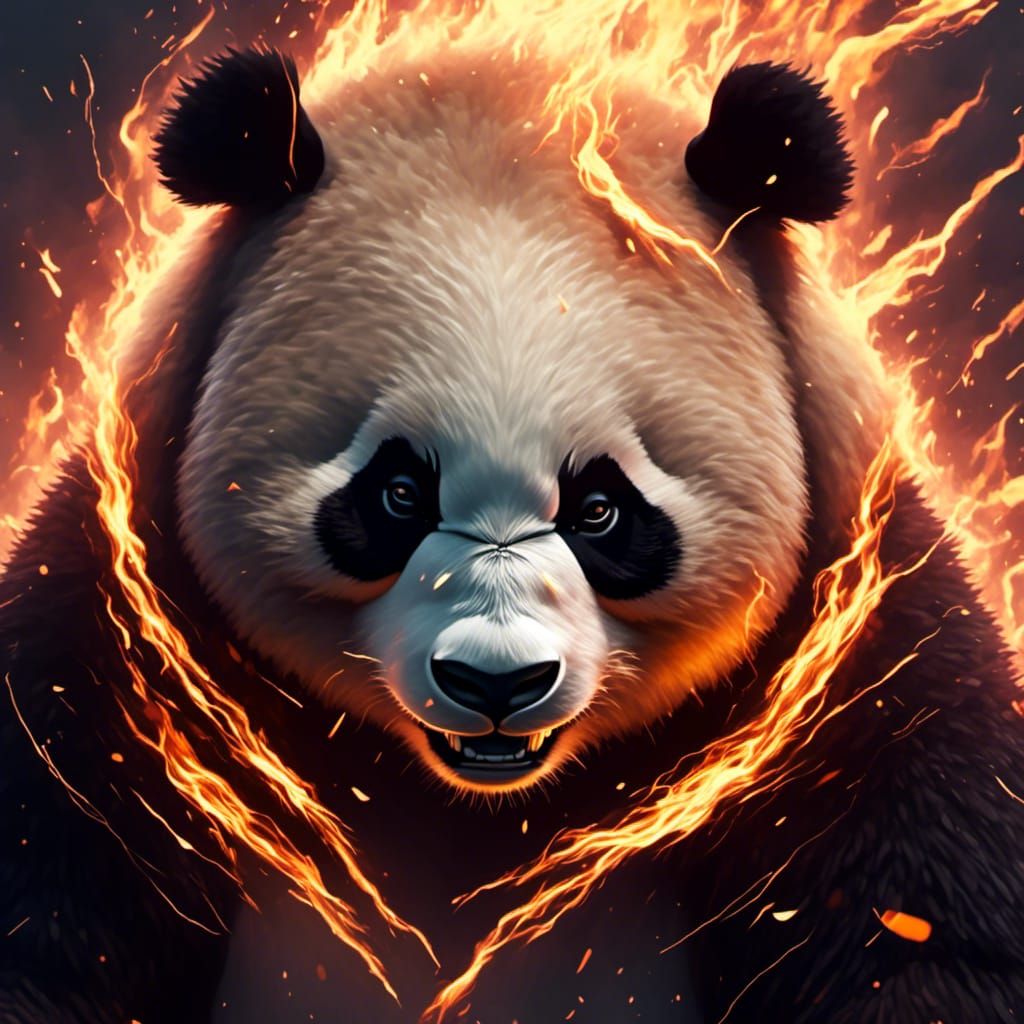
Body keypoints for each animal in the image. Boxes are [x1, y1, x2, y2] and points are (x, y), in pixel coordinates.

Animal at [2, 43, 1023, 1024]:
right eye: (399, 493)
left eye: (600, 508)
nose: (496, 683)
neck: (482, 805)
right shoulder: (124, 626)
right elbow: (53, 894)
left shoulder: (851, 647)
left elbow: (919, 915)